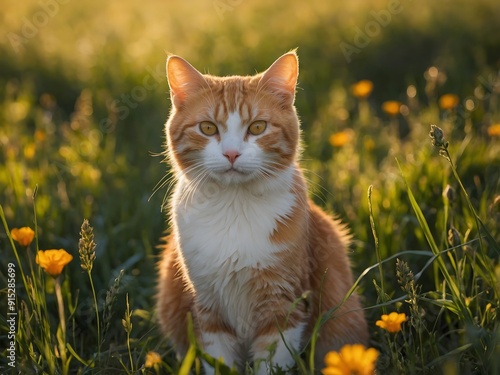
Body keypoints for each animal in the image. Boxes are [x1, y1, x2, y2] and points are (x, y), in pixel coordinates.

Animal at [158, 51, 370, 374]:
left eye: (257, 127)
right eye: (208, 128)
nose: (231, 153)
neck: (234, 208)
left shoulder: (284, 307)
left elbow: (272, 360)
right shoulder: (208, 309)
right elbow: (219, 362)